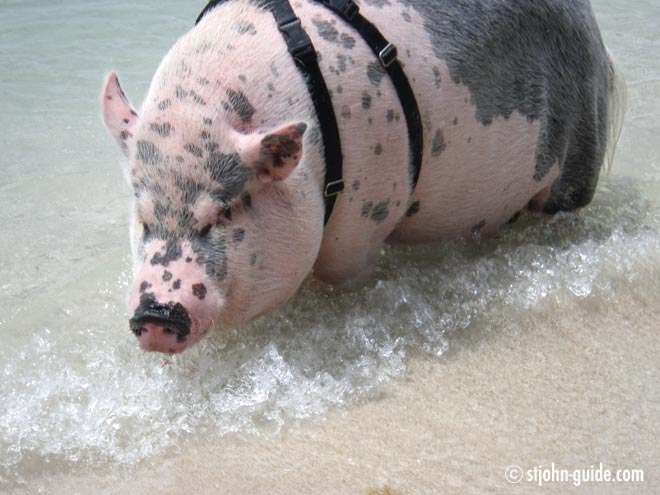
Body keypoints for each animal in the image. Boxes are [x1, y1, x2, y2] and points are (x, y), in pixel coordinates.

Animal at [102, 0, 624, 354]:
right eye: (144, 219)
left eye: (221, 213)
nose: (155, 314)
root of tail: (597, 36)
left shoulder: (363, 221)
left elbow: (342, 275)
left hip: (578, 155)